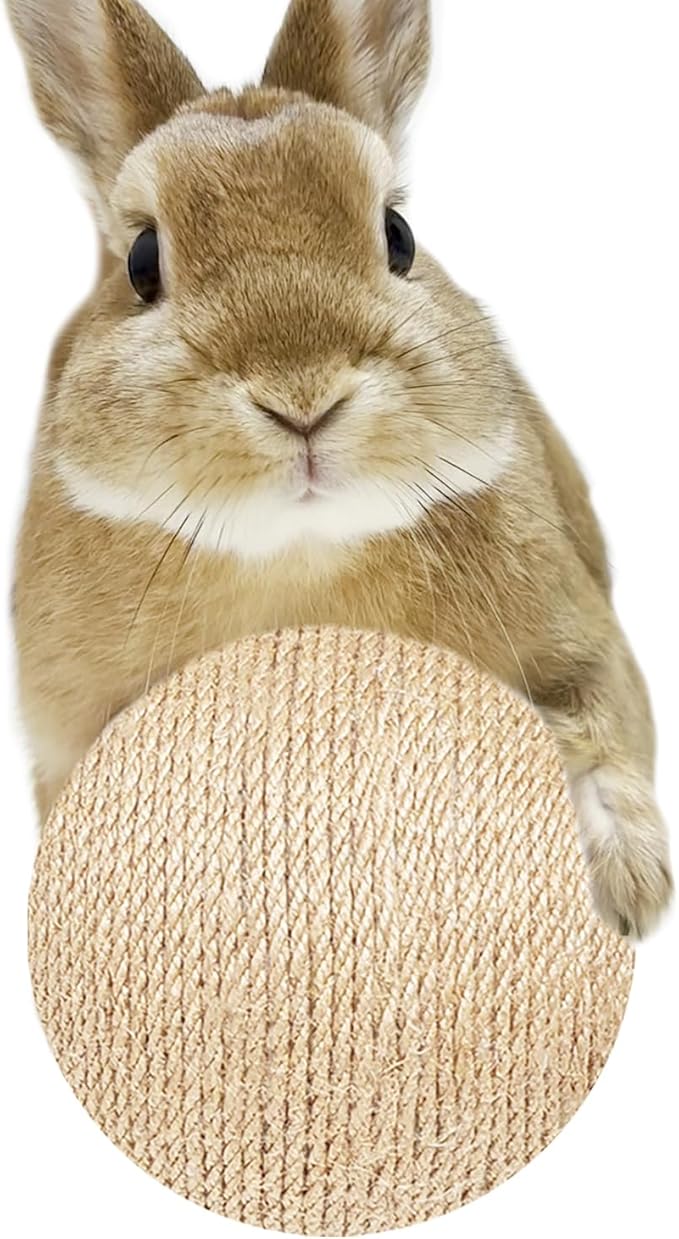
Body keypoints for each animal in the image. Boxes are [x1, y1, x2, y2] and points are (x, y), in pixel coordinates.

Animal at [6, 0, 672, 940]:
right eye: (141, 263)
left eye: (398, 237)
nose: (303, 397)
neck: (301, 554)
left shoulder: (586, 645)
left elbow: (603, 741)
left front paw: (626, 892)